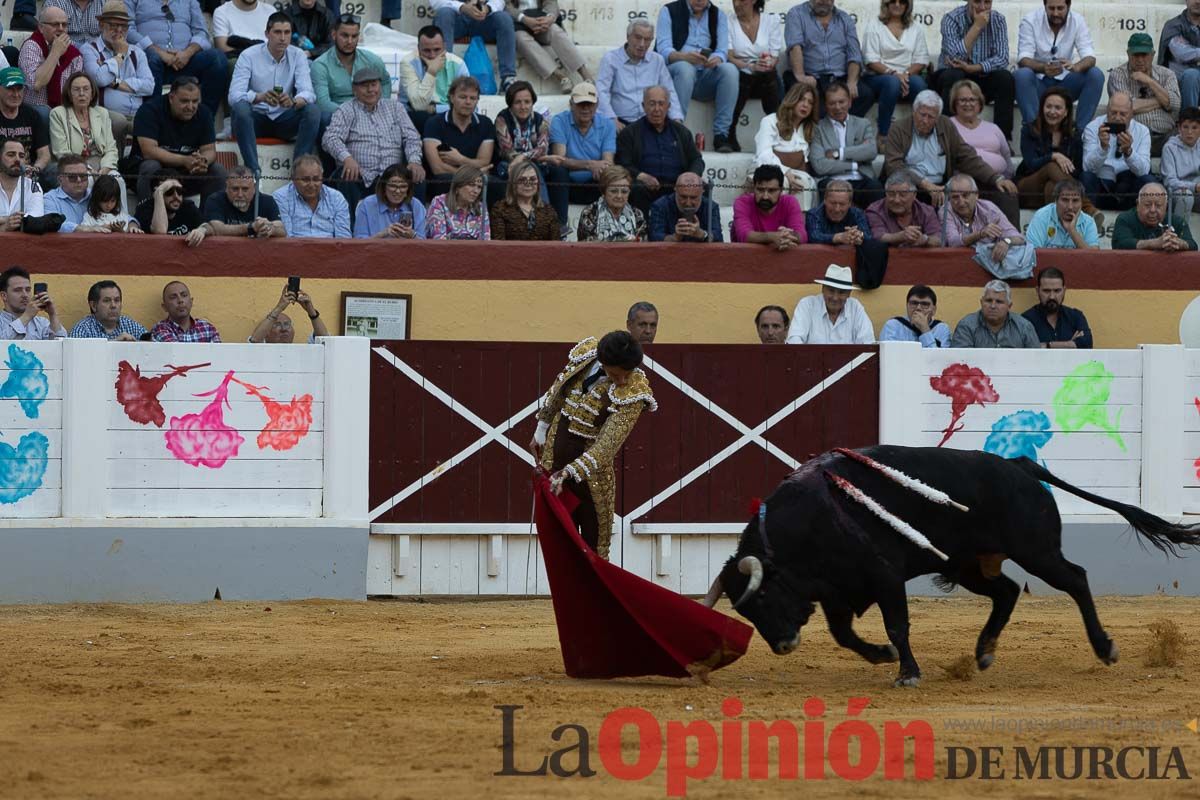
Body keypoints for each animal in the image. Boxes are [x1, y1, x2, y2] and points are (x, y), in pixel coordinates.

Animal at [700, 448, 1200, 686]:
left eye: (763, 596)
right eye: (745, 611)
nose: (783, 646)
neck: (810, 519)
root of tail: (1020, 467)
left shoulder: (883, 576)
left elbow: (898, 625)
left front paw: (907, 672)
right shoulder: (838, 590)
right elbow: (845, 635)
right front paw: (882, 656)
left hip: (1036, 551)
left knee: (1075, 578)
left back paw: (1105, 647)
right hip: (968, 566)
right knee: (1007, 592)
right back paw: (983, 651)